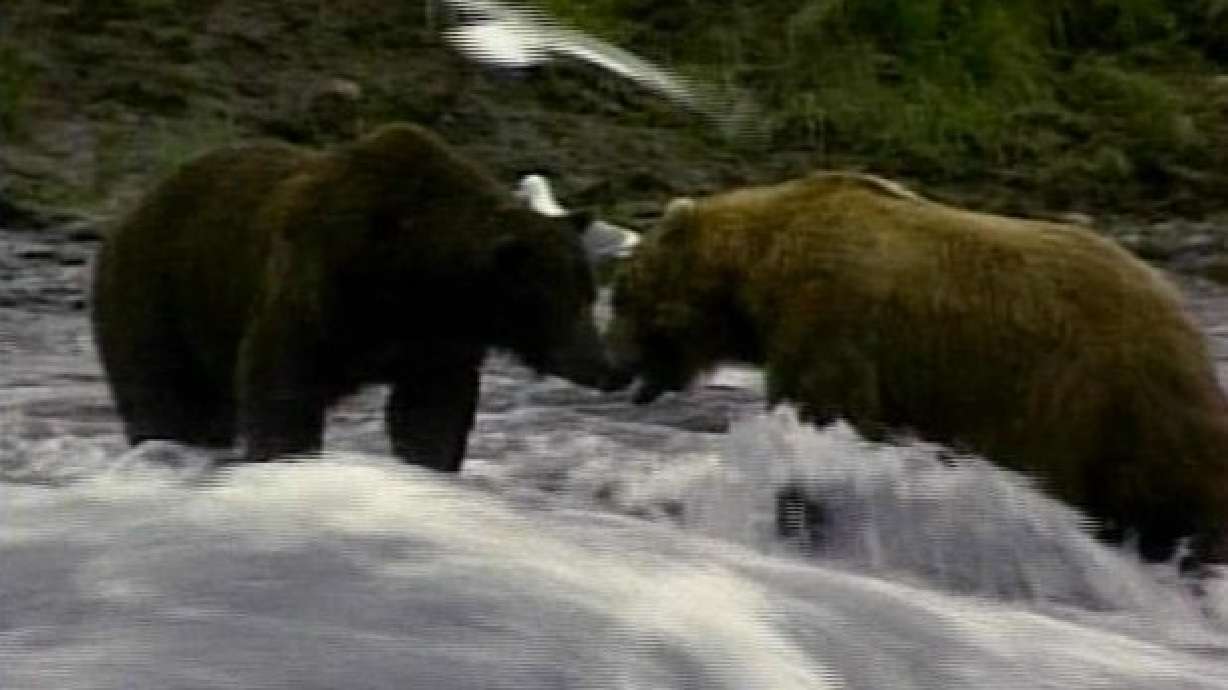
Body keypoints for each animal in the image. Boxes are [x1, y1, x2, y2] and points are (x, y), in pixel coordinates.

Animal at [91, 122, 627, 471]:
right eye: (560, 297)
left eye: (589, 290)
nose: (606, 366)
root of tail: (128, 213)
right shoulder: (319, 286)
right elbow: (282, 385)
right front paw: (284, 458)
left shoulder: (436, 344)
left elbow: (431, 414)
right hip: (158, 296)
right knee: (162, 395)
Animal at [607, 170, 1228, 566]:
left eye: (621, 296)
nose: (612, 367)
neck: (757, 276)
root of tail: (1188, 327)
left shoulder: (830, 323)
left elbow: (820, 426)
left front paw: (799, 522)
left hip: (1105, 402)